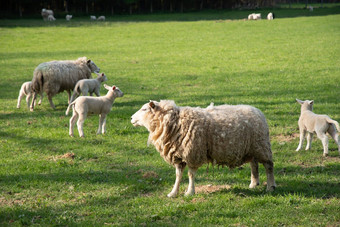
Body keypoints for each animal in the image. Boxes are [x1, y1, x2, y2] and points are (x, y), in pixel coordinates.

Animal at [130, 100, 276, 197]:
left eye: (144, 110)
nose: (131, 118)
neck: (175, 122)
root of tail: (257, 111)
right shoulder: (179, 156)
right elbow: (178, 175)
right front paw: (173, 193)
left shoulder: (192, 153)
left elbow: (190, 175)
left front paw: (190, 192)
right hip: (251, 148)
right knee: (254, 164)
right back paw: (254, 183)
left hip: (262, 145)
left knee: (268, 166)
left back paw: (270, 187)